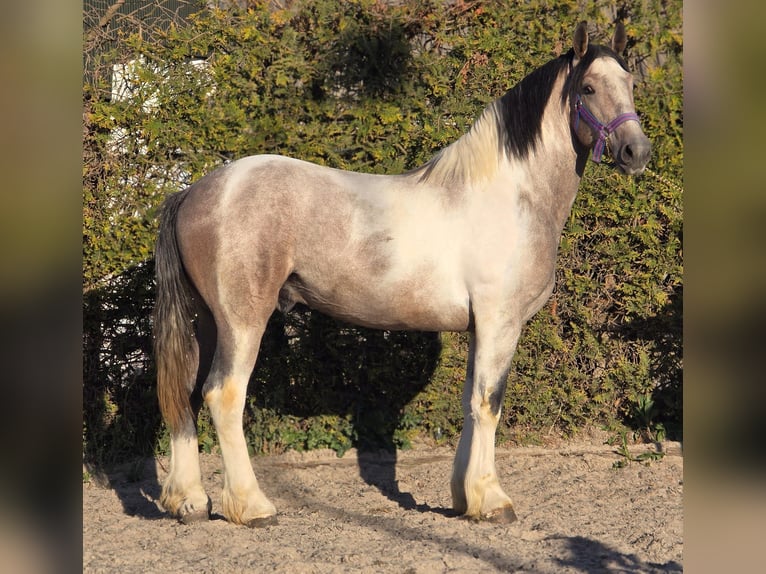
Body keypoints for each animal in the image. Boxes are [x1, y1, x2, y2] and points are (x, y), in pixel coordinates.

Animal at [153, 21, 651, 526]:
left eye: (630, 83)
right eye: (588, 88)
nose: (637, 151)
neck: (510, 195)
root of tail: (194, 192)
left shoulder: (479, 328)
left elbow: (470, 402)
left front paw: (464, 499)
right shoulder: (500, 322)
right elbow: (489, 403)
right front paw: (493, 501)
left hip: (208, 322)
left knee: (187, 395)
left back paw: (189, 501)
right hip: (243, 321)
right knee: (223, 395)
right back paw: (252, 506)